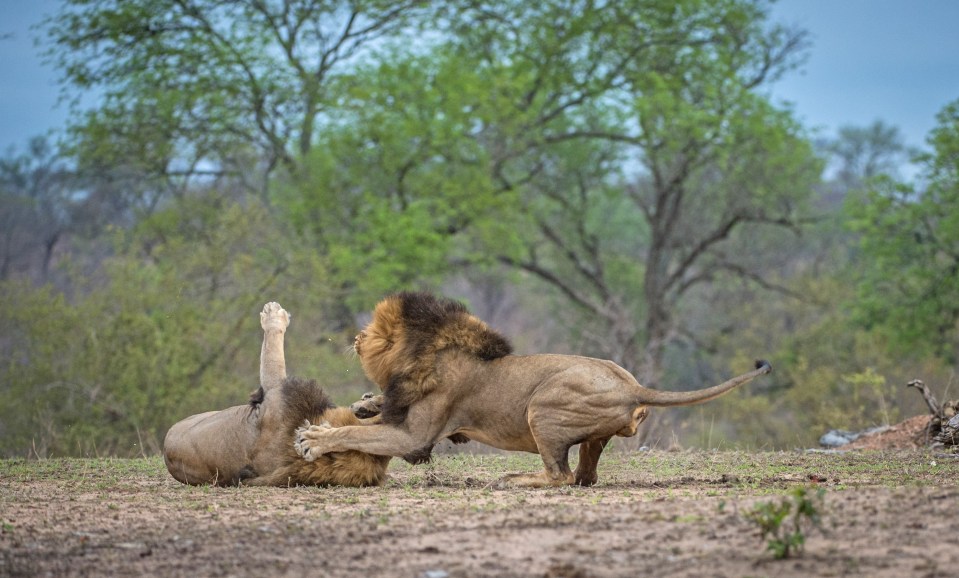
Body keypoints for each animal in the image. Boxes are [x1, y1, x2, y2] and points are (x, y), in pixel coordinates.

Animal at [296, 290, 776, 484]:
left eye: (371, 332)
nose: (354, 338)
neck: (424, 351)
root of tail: (633, 386)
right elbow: (369, 418)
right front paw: (365, 403)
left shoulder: (415, 438)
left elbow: (359, 434)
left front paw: (314, 439)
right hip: (591, 436)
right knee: (584, 477)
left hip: (542, 407)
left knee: (559, 477)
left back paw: (513, 478)